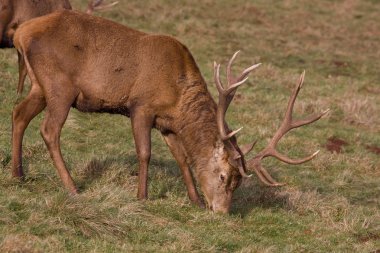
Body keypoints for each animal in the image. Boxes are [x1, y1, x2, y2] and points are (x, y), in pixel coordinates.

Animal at [13, 9, 328, 212]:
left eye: (238, 183)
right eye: (224, 176)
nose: (221, 212)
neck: (178, 97)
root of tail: (21, 34)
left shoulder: (167, 124)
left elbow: (183, 159)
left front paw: (195, 200)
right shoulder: (141, 106)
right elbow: (145, 152)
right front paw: (142, 196)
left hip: (39, 86)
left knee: (18, 114)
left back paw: (18, 174)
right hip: (60, 85)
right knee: (49, 130)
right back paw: (72, 187)